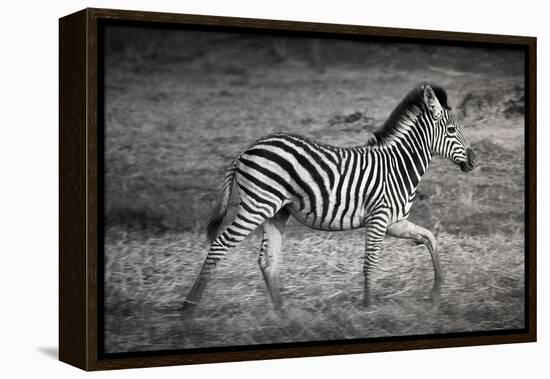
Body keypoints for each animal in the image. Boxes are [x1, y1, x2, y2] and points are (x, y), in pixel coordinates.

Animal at [183, 81, 476, 310]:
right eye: (452, 131)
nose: (474, 160)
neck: (398, 166)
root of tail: (246, 150)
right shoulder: (379, 219)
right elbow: (370, 263)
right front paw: (368, 308)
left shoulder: (395, 222)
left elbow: (430, 238)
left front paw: (436, 293)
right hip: (258, 206)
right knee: (220, 245)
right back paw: (189, 308)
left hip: (276, 211)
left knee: (267, 260)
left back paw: (283, 314)